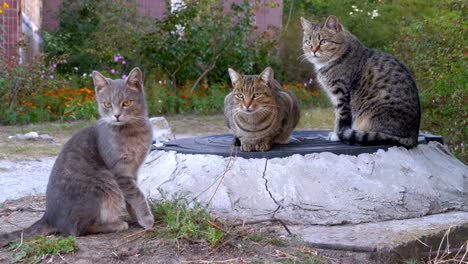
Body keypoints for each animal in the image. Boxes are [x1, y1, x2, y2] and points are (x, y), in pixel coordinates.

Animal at [0, 67, 154, 248]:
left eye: (126, 103)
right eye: (107, 104)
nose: (116, 115)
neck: (132, 132)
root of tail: (48, 216)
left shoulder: (133, 170)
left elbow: (131, 196)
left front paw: (136, 217)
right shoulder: (120, 171)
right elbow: (136, 194)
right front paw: (147, 218)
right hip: (102, 185)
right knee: (77, 229)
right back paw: (116, 224)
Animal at [302, 16, 422, 148]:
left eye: (323, 41)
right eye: (308, 42)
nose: (313, 50)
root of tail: (413, 136)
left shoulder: (341, 93)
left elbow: (341, 118)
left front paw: (337, 135)